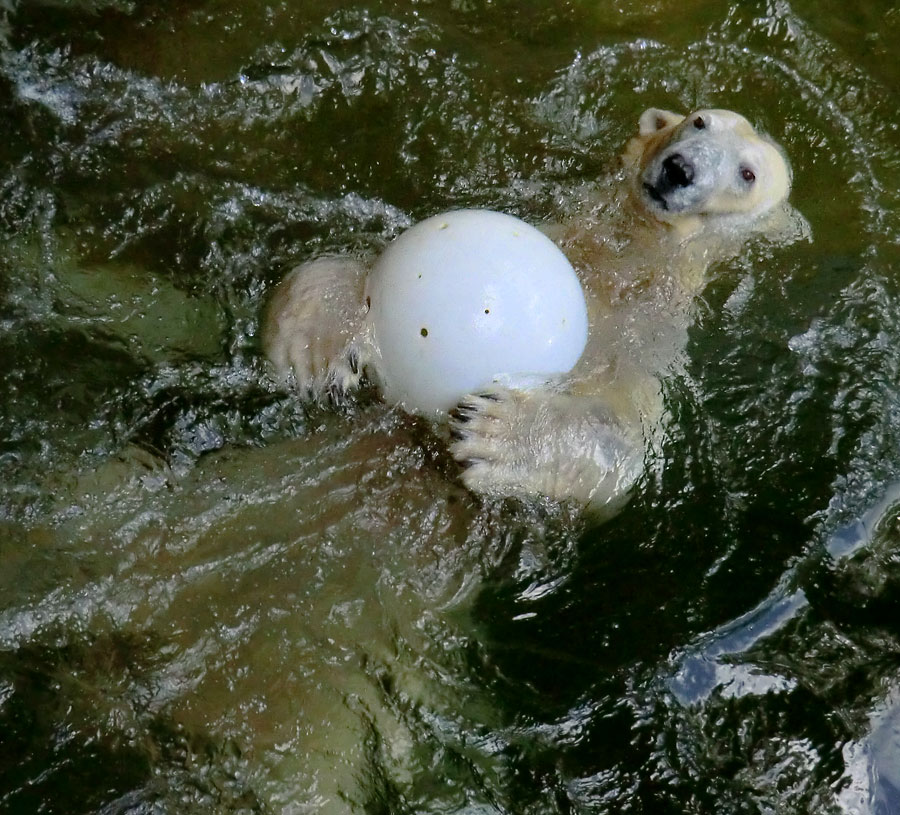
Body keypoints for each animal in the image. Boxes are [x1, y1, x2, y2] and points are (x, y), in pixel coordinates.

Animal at [262, 108, 800, 516]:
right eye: (698, 122)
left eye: (747, 173)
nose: (680, 169)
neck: (625, 256)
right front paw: (317, 347)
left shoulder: (646, 344)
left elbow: (619, 443)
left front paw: (493, 432)